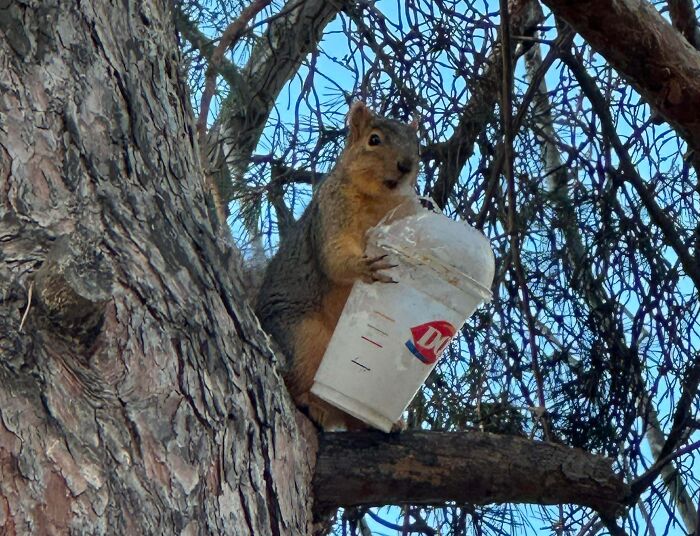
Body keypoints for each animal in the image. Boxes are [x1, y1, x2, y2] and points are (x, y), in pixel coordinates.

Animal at [254, 102, 420, 430]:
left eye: (416, 144)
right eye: (374, 140)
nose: (406, 165)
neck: (381, 200)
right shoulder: (332, 208)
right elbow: (334, 254)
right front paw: (364, 266)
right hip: (304, 337)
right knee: (297, 380)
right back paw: (311, 403)